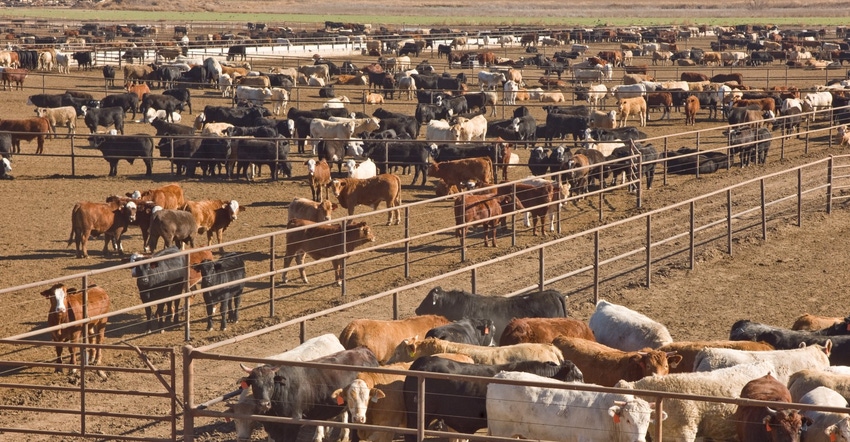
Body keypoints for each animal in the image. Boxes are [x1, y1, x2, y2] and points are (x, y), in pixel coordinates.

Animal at [238, 348, 378, 442]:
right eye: (254, 384)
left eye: (271, 383)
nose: (264, 404)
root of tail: (365, 351)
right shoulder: (272, 428)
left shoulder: (292, 425)